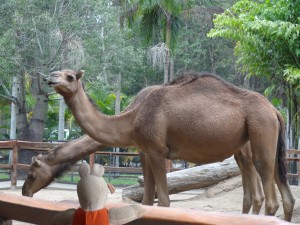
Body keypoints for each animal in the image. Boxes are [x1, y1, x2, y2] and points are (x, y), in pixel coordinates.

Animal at [44, 70, 296, 220]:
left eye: (70, 76)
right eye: (57, 72)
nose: (51, 77)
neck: (132, 118)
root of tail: (274, 110)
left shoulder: (156, 150)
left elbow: (163, 201)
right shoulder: (145, 151)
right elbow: (147, 200)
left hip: (260, 128)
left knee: (268, 191)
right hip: (264, 141)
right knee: (281, 190)